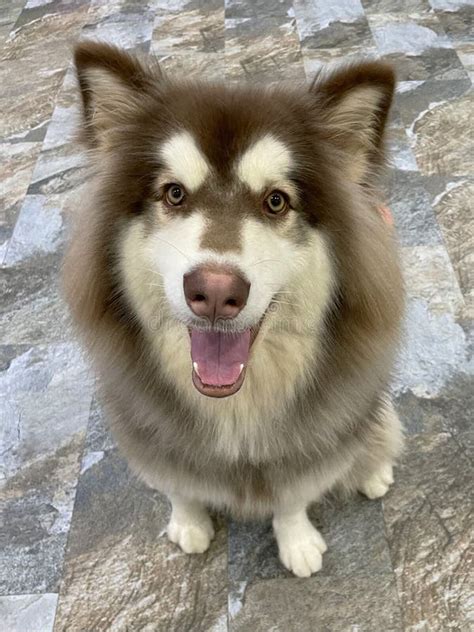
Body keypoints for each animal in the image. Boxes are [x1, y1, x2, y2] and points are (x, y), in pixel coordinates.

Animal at [63, 42, 404, 576]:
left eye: (276, 201)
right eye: (174, 193)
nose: (216, 292)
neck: (234, 410)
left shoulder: (309, 434)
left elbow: (292, 496)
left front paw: (298, 543)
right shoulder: (147, 428)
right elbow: (178, 484)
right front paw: (189, 524)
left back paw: (372, 469)